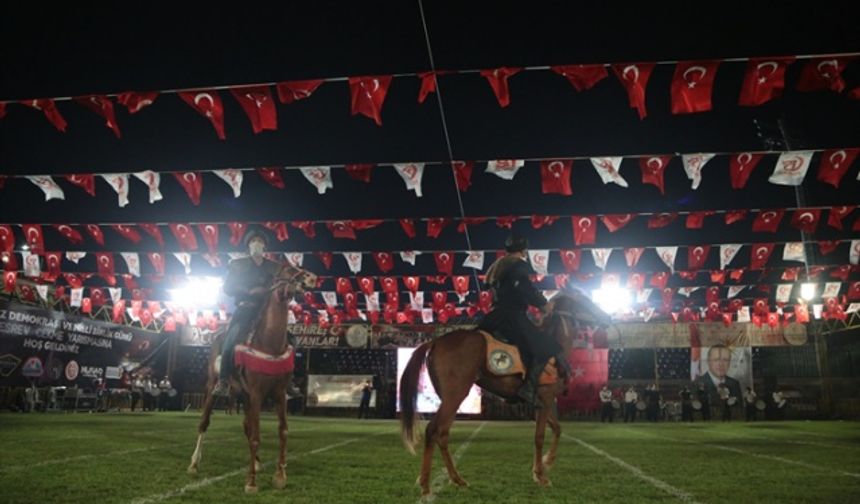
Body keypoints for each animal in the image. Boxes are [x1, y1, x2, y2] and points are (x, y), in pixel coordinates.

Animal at [186, 264, 318, 492]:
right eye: (286, 269)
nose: (311, 277)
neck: (269, 343)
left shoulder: (278, 394)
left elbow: (282, 431)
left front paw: (280, 475)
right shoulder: (256, 394)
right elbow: (256, 436)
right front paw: (251, 482)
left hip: (243, 396)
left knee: (247, 427)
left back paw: (256, 462)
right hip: (213, 387)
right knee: (205, 423)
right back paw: (194, 464)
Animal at [398, 292, 608, 496]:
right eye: (585, 301)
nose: (606, 316)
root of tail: (435, 341)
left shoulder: (540, 404)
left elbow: (557, 428)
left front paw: (546, 463)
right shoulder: (547, 398)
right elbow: (540, 436)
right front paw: (541, 475)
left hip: (450, 398)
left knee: (442, 433)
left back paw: (456, 479)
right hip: (455, 395)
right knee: (433, 430)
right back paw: (426, 484)